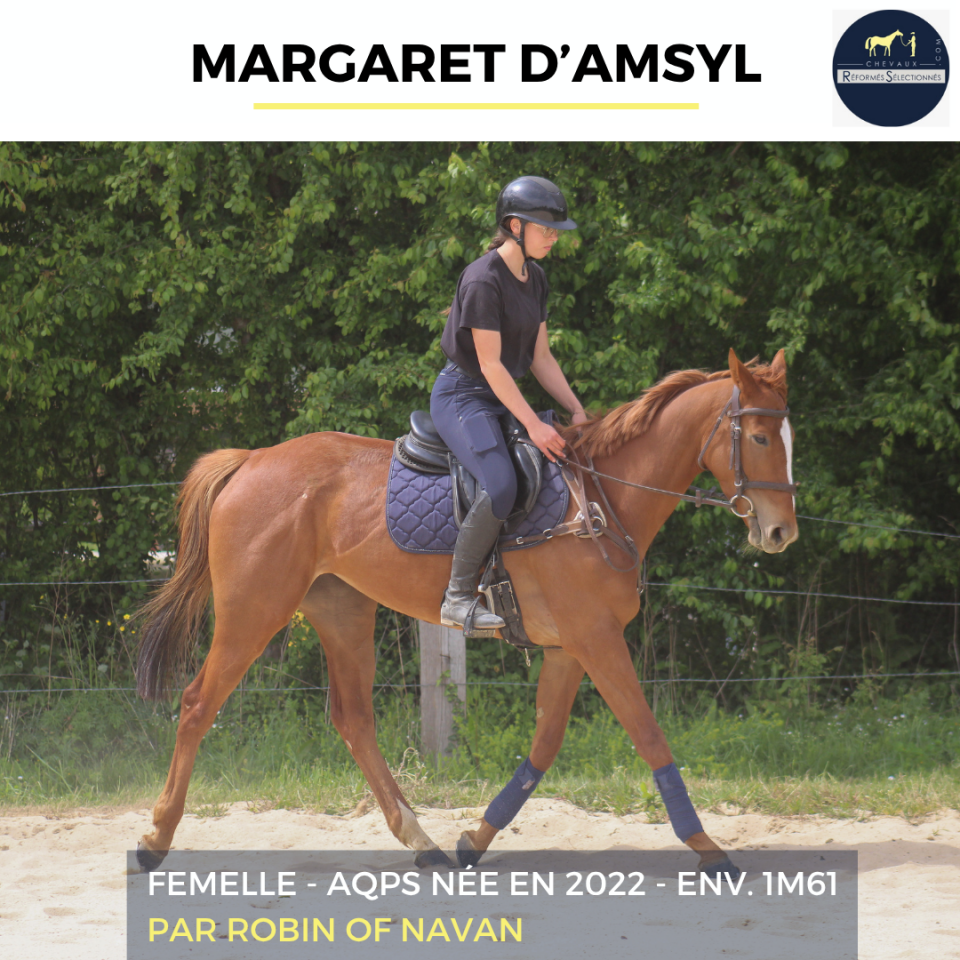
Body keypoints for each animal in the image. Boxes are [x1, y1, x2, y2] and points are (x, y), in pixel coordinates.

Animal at [134, 348, 798, 875]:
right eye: (760, 438)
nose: (780, 533)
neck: (602, 497)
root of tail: (251, 460)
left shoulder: (569, 647)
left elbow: (544, 746)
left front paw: (474, 840)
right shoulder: (597, 639)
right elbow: (650, 735)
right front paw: (707, 847)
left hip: (342, 611)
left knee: (353, 719)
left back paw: (420, 840)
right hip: (255, 610)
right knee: (197, 704)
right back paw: (154, 838)